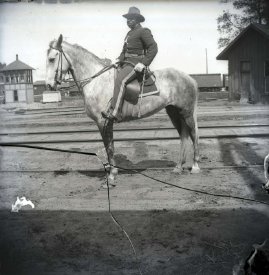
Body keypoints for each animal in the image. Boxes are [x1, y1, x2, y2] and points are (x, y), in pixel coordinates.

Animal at [45, 35, 198, 184]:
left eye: (52, 59)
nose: (49, 85)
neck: (97, 82)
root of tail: (189, 78)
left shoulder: (104, 121)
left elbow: (109, 147)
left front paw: (112, 175)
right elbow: (108, 146)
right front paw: (111, 171)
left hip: (187, 113)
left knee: (193, 135)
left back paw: (195, 167)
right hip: (174, 112)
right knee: (183, 136)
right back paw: (178, 167)